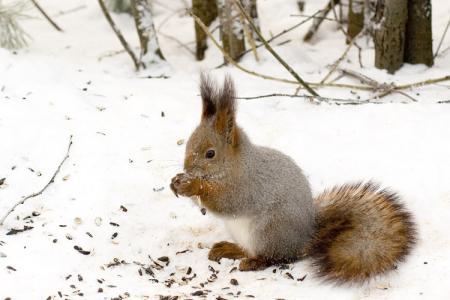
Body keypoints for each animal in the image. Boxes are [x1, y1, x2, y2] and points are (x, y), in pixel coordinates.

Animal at [171, 73, 416, 284]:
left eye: (210, 154)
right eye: (188, 144)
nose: (187, 168)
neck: (235, 166)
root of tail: (305, 237)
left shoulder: (248, 186)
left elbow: (227, 202)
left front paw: (193, 185)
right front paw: (177, 182)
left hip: (269, 231)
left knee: (275, 257)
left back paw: (252, 261)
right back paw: (229, 249)